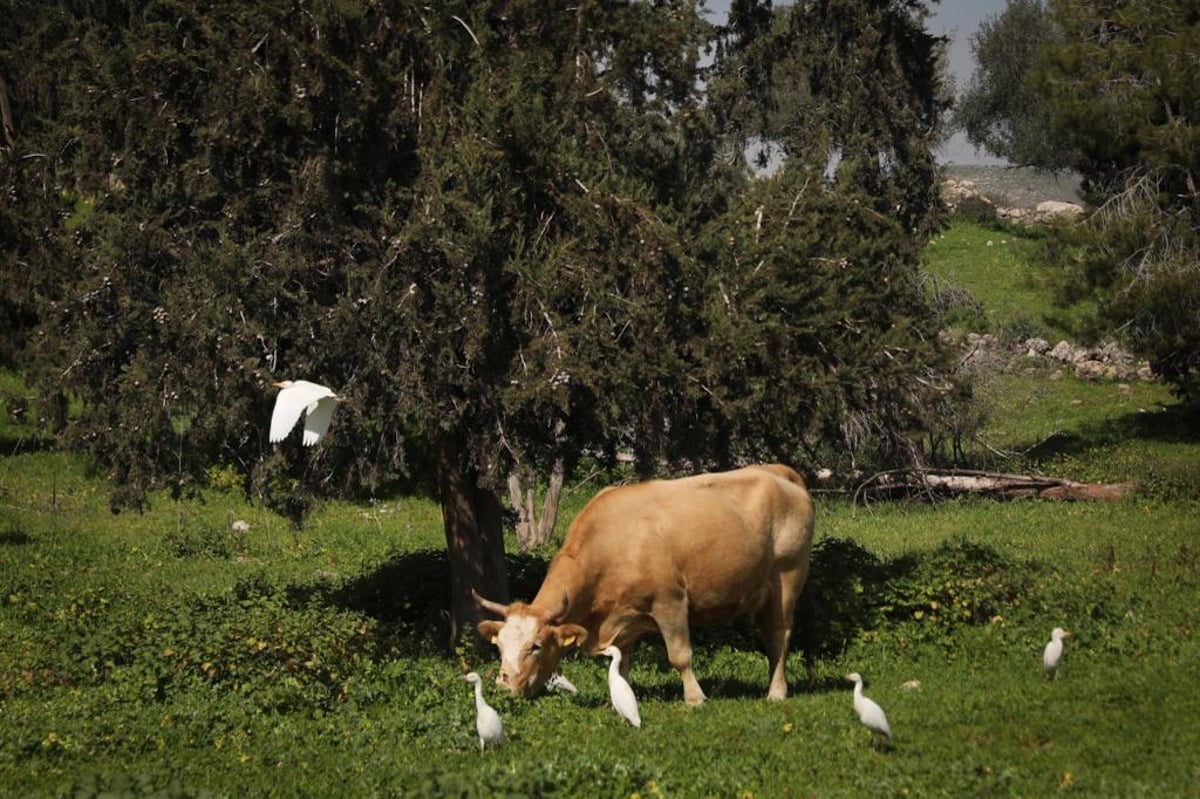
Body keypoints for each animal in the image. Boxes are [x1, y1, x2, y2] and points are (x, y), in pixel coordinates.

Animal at [472, 460, 811, 705]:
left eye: (536, 646)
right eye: (499, 645)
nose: (505, 685)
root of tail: (779, 472)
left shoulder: (670, 602)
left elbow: (680, 656)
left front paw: (695, 698)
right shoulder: (622, 619)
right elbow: (621, 666)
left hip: (788, 578)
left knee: (780, 635)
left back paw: (776, 692)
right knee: (770, 638)